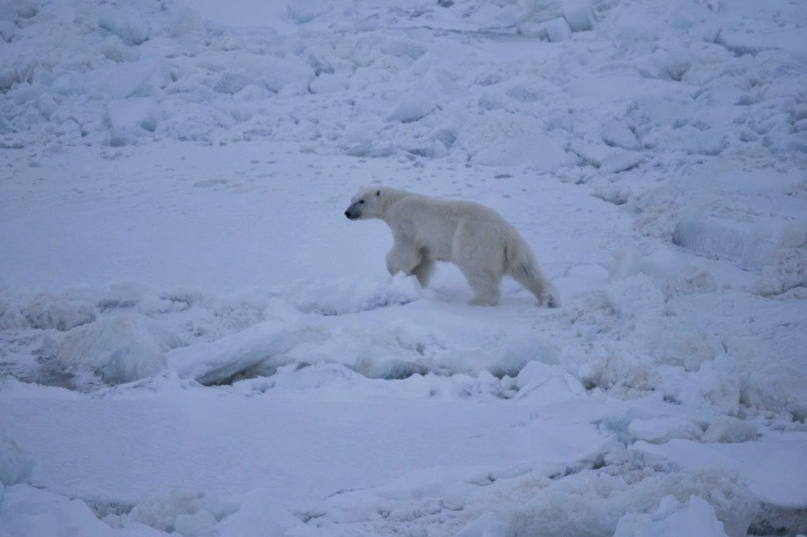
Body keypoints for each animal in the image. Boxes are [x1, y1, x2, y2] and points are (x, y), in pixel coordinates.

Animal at [344, 187, 560, 306]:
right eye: (351, 198)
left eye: (361, 200)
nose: (347, 213)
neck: (395, 202)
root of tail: (506, 235)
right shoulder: (425, 242)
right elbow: (423, 262)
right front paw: (415, 281)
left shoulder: (406, 224)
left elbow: (404, 252)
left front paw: (395, 270)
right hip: (516, 248)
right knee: (527, 270)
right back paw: (548, 299)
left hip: (474, 239)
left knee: (476, 269)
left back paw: (478, 300)